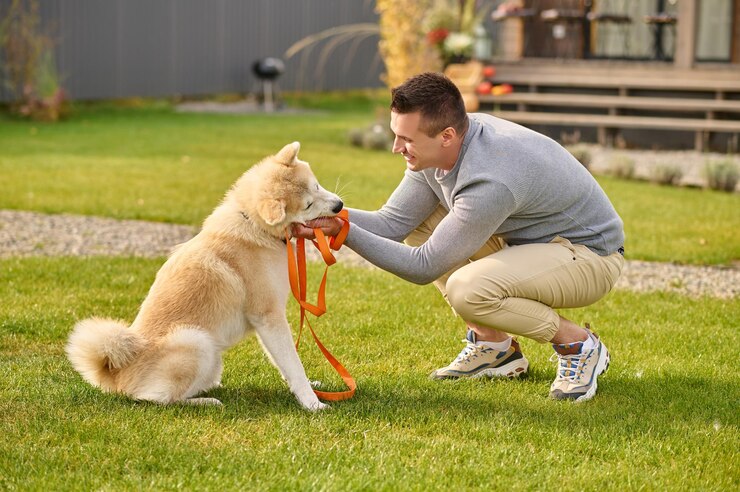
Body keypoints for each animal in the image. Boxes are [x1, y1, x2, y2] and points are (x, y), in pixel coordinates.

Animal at [65, 143, 342, 412]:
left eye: (317, 185)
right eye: (308, 204)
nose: (339, 206)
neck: (255, 226)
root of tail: (116, 373)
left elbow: (286, 363)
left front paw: (311, 387)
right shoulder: (268, 316)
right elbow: (293, 363)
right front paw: (312, 403)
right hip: (196, 341)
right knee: (156, 399)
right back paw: (204, 401)